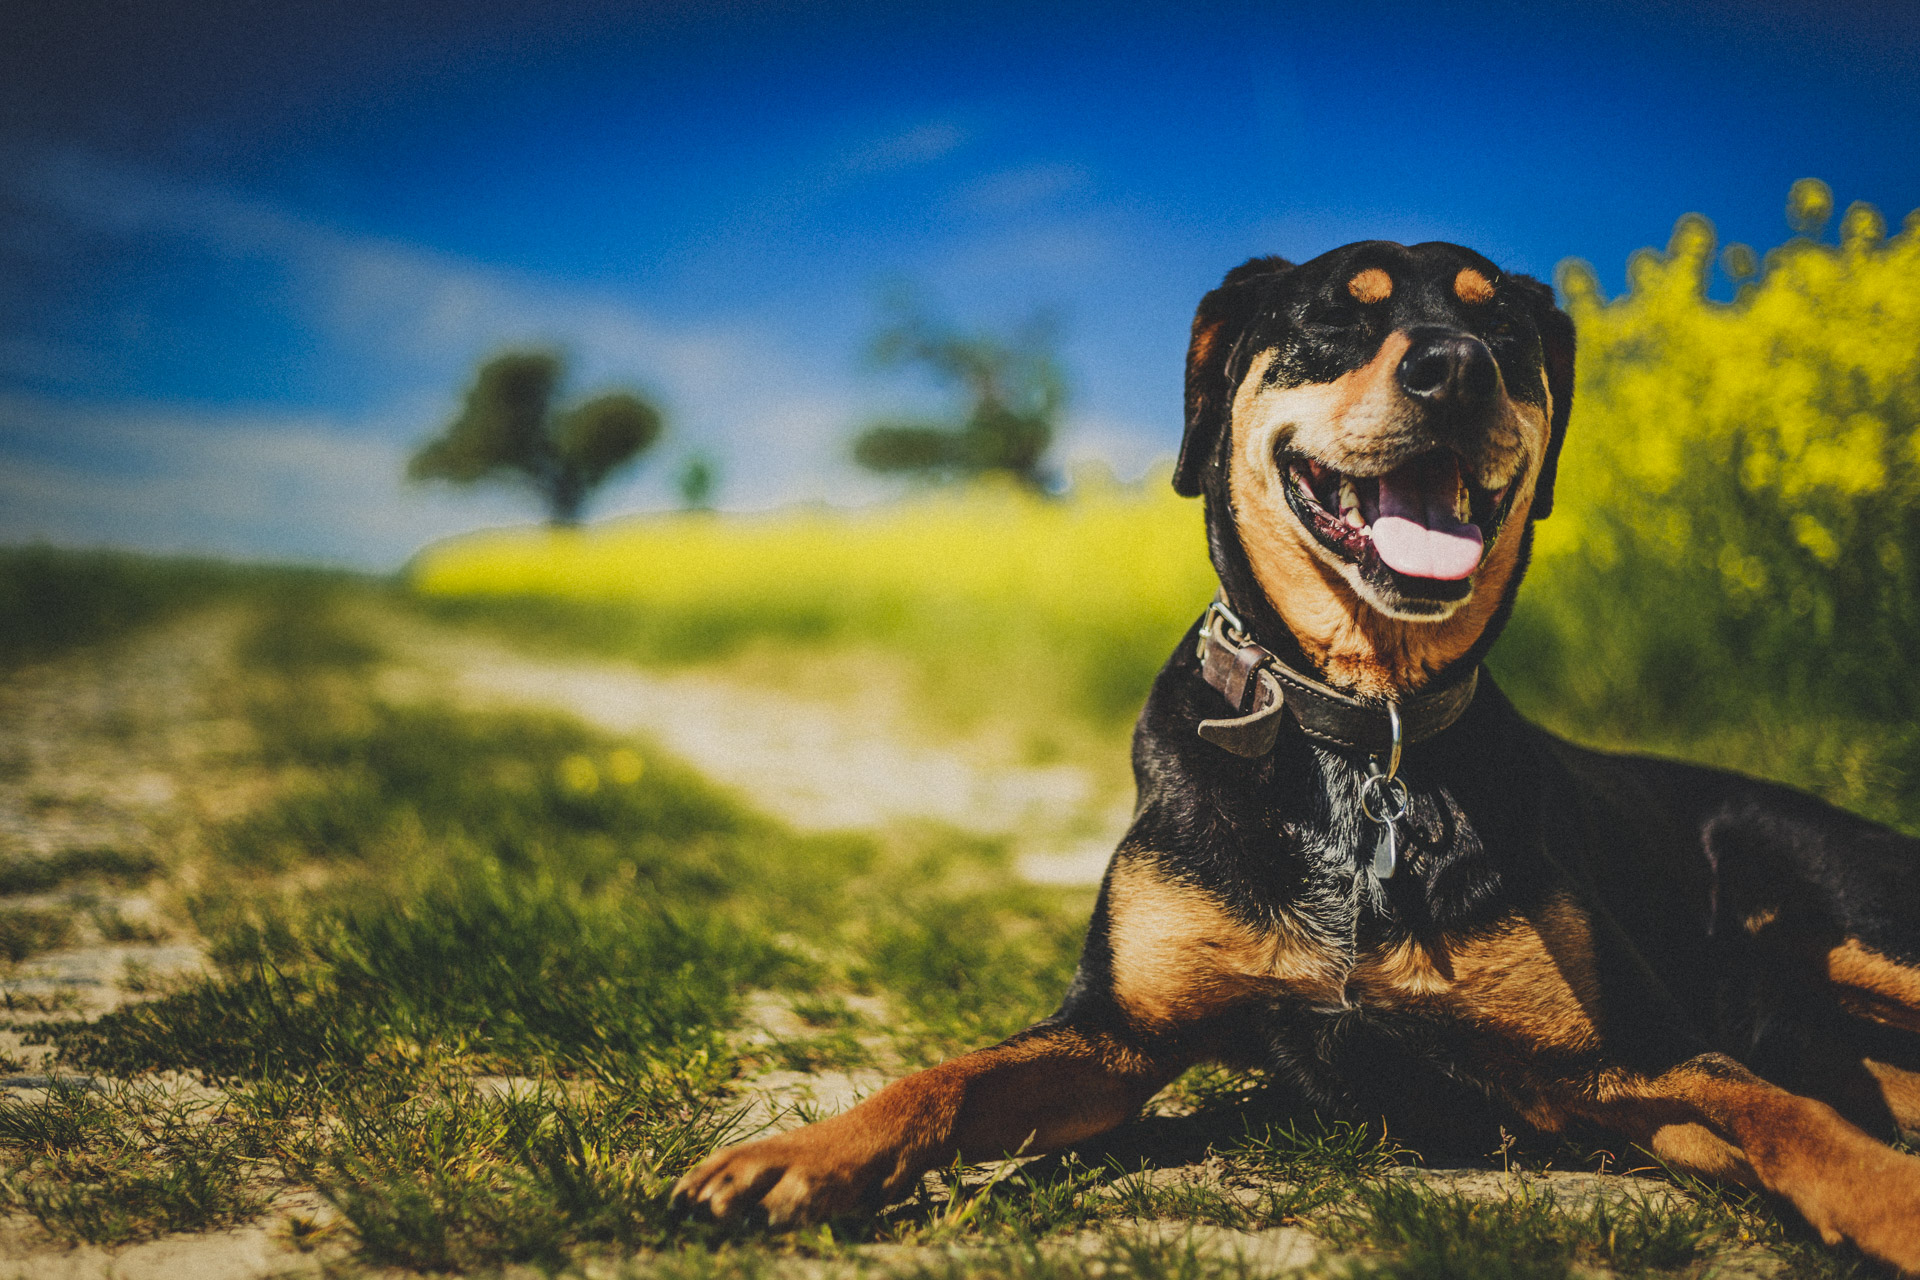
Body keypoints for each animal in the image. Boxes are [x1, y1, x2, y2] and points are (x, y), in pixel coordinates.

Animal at [675, 239, 1920, 1274]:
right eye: (1336, 315)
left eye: (1503, 327)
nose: (1457, 367)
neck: (1364, 729)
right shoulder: (1115, 1033)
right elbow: (951, 1072)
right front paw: (804, 1152)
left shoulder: (1627, 1055)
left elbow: (1784, 1110)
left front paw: (1889, 1203)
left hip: (1852, 930)